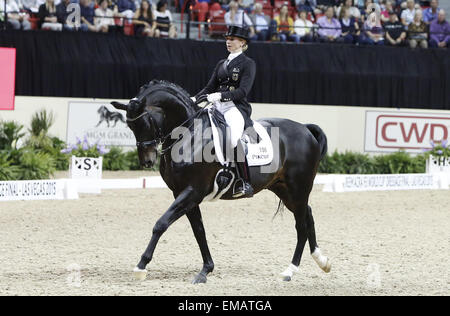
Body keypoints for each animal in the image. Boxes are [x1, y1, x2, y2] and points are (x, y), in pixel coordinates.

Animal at [111, 81, 330, 284]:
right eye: (130, 126)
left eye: (145, 122)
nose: (147, 161)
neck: (189, 134)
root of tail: (305, 129)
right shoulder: (183, 193)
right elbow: (199, 231)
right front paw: (205, 270)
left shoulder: (193, 191)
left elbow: (161, 224)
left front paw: (141, 266)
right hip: (283, 189)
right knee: (308, 215)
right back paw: (322, 261)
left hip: (298, 188)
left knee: (301, 225)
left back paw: (290, 271)